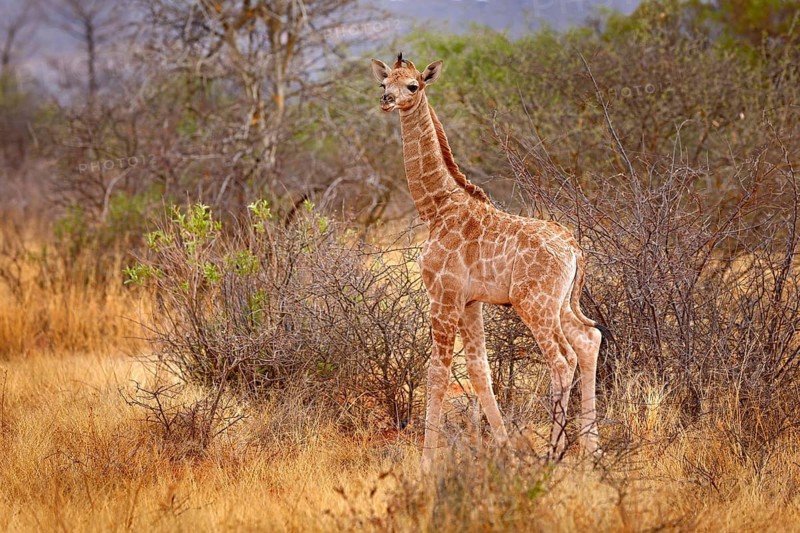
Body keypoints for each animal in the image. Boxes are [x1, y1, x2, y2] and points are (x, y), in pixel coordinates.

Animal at [371, 54, 606, 471]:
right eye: (384, 82)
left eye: (413, 85)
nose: (386, 100)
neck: (436, 207)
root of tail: (575, 250)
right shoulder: (471, 302)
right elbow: (481, 372)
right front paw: (506, 449)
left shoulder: (443, 295)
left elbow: (437, 373)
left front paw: (426, 463)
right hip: (562, 304)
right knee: (588, 340)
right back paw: (592, 450)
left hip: (535, 305)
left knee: (562, 360)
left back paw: (553, 453)